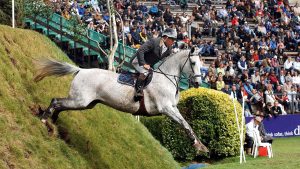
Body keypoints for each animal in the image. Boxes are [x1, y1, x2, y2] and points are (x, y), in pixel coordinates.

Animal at [34, 48, 209, 153]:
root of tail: (80, 70)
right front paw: (199, 146)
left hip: (85, 104)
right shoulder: (166, 108)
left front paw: (200, 144)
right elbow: (185, 124)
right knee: (56, 101)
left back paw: (52, 121)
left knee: (61, 105)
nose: (198, 83)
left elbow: (186, 123)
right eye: (193, 63)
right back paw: (44, 119)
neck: (166, 78)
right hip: (80, 100)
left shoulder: (172, 108)